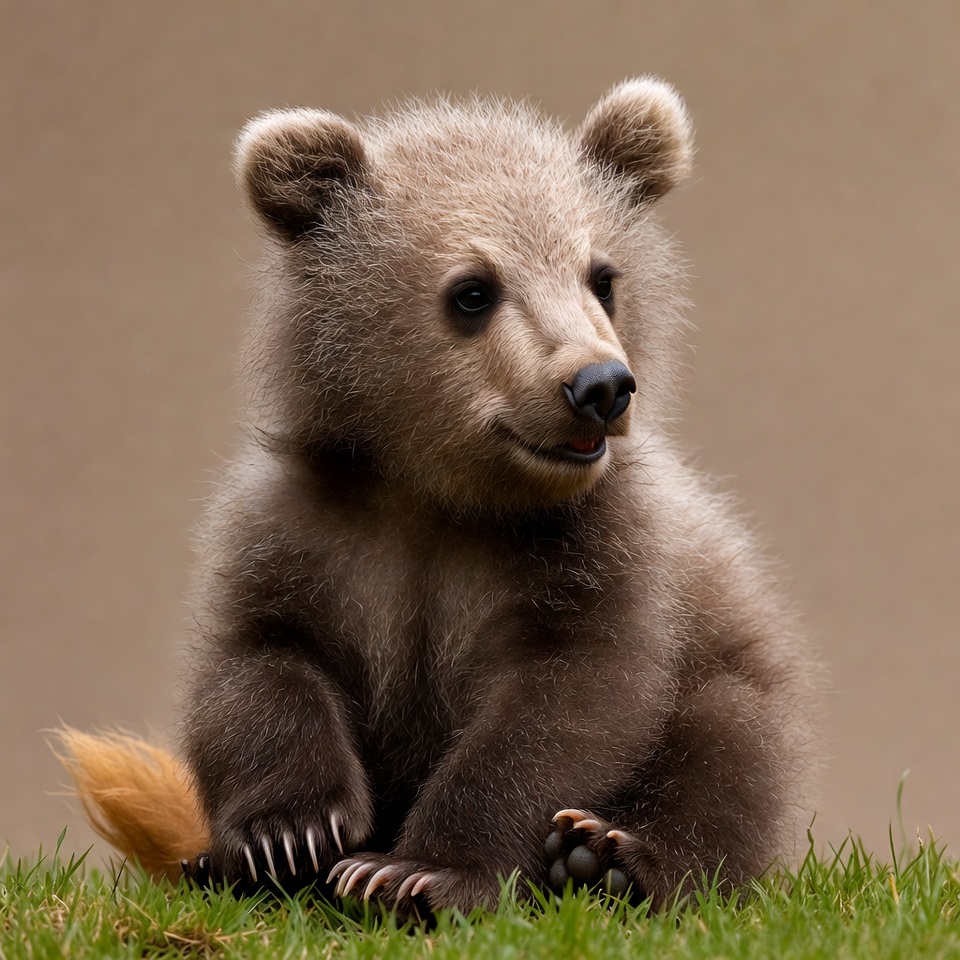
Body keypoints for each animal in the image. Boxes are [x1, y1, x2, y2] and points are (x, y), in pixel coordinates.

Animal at [56, 78, 815, 913]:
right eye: (473, 290)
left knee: (727, 747)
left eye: (602, 277)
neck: (443, 494)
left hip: (726, 667)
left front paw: (411, 871)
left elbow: (563, 708)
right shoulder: (303, 530)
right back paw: (206, 864)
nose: (600, 385)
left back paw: (604, 858)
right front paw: (288, 834)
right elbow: (261, 660)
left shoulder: (597, 551)